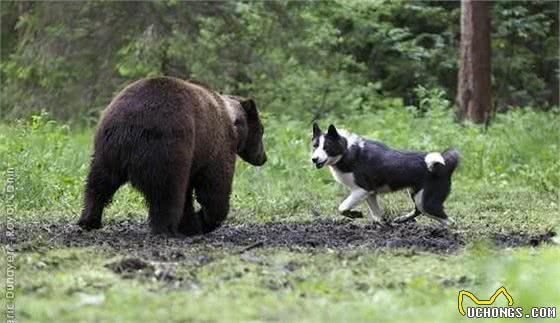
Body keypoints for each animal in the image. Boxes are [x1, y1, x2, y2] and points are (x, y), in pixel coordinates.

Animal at [76, 77, 266, 237]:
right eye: (262, 130)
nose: (263, 158)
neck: (234, 125)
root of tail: (129, 126)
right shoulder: (216, 146)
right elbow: (214, 188)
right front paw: (202, 221)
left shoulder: (195, 158)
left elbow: (190, 193)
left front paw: (191, 224)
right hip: (168, 146)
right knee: (167, 191)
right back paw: (166, 229)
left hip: (107, 148)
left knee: (99, 183)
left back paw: (89, 219)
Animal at [310, 123, 460, 227]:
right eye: (315, 146)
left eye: (326, 147)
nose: (314, 159)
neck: (346, 151)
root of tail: (445, 164)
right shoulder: (370, 193)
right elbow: (377, 215)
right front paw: (381, 225)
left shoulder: (361, 190)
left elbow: (342, 207)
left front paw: (355, 214)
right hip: (417, 195)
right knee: (419, 211)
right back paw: (402, 219)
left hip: (427, 202)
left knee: (449, 221)